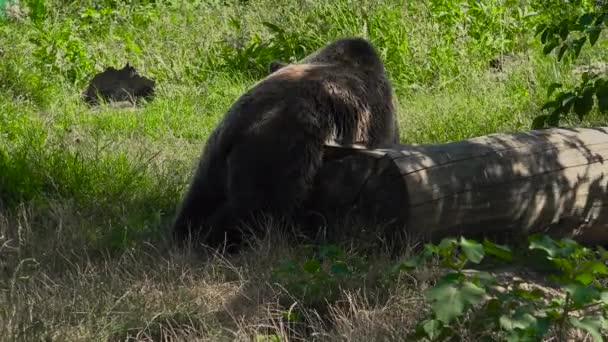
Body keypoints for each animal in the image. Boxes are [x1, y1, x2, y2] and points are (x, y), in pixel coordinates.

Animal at [170, 38, 400, 251]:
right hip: (279, 155)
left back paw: (187, 233)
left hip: (215, 152)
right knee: (256, 210)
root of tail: (244, 125)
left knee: (199, 198)